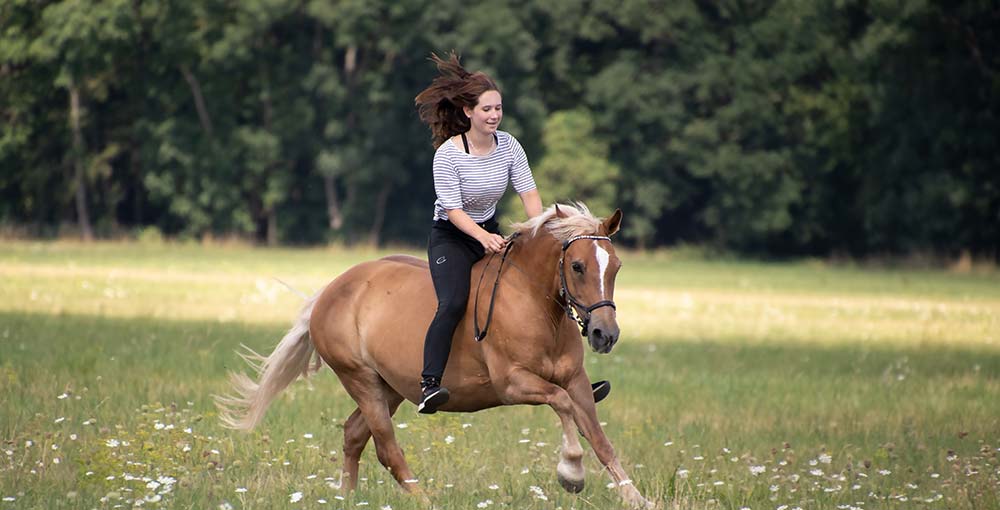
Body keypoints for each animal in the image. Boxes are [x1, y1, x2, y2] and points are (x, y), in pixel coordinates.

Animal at [218, 203, 652, 506]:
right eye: (577, 266)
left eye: (616, 267)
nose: (605, 334)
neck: (535, 303)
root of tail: (330, 290)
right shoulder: (514, 384)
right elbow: (561, 405)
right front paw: (571, 472)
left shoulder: (576, 381)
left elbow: (598, 437)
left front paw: (636, 498)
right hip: (361, 379)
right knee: (386, 447)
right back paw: (424, 499)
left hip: (390, 386)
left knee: (354, 434)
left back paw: (345, 497)